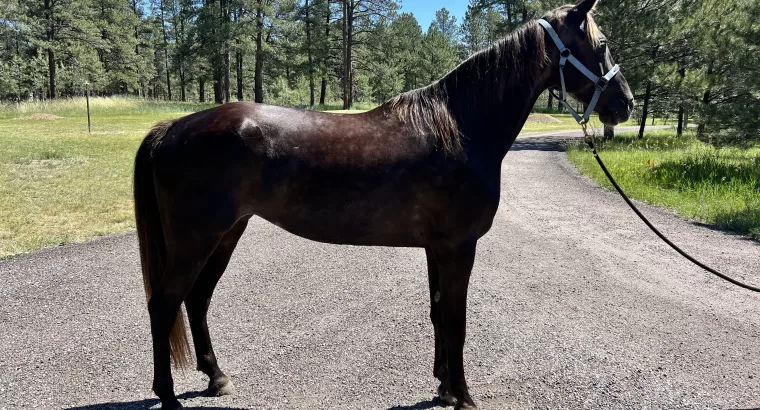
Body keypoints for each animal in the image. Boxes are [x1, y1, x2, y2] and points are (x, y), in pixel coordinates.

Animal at [135, 1, 636, 408]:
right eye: (602, 44)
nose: (626, 104)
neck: (462, 128)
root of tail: (170, 127)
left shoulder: (437, 247)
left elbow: (438, 314)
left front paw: (444, 386)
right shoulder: (459, 246)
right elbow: (457, 319)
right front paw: (464, 395)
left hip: (226, 233)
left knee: (197, 300)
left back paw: (216, 378)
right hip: (197, 239)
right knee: (164, 304)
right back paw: (168, 396)